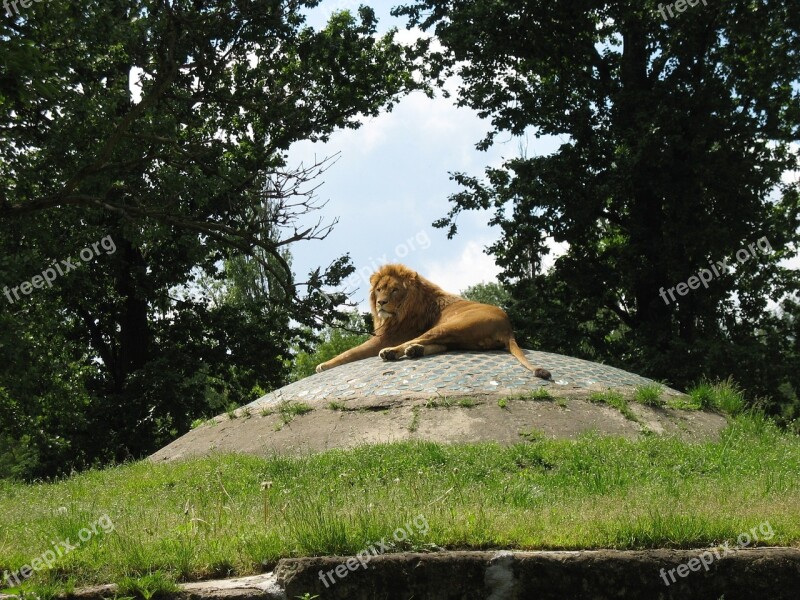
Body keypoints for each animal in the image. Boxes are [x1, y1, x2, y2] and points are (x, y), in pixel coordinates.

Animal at [316, 264, 552, 380]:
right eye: (380, 289)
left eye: (394, 290)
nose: (381, 302)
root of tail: (507, 328)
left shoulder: (385, 338)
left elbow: (350, 352)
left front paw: (323, 365)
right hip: (459, 336)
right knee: (439, 346)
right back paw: (414, 351)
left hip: (451, 325)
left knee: (417, 341)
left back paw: (393, 353)